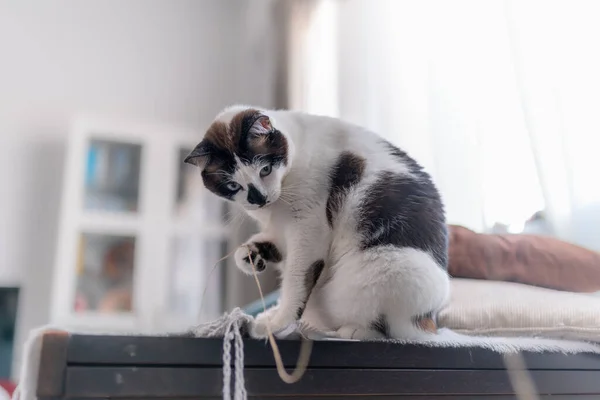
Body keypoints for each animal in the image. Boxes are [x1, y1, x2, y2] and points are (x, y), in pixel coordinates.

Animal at [185, 104, 448, 340]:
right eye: (232, 185)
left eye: (265, 169)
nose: (258, 198)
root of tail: (430, 321)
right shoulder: (280, 229)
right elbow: (267, 247)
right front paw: (250, 256)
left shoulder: (308, 227)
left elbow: (296, 280)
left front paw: (278, 323)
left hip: (383, 274)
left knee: (389, 327)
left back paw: (351, 331)